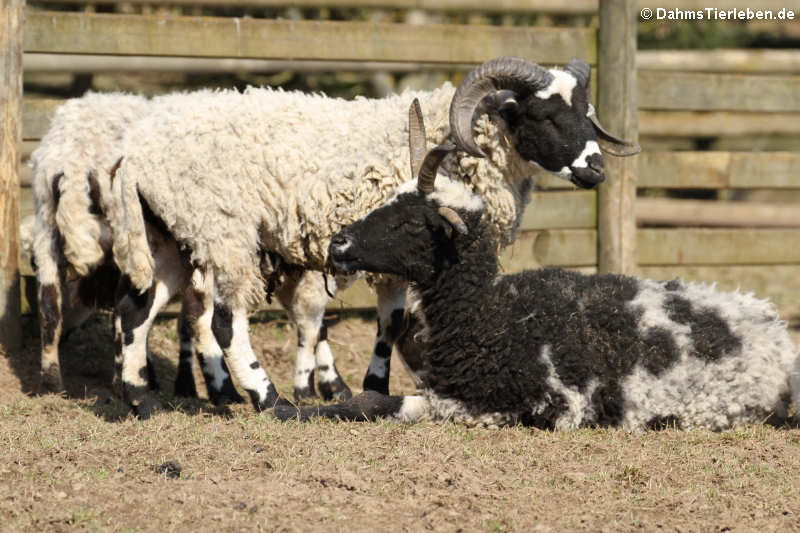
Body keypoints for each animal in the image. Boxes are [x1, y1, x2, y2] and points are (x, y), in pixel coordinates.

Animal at [276, 108, 800, 432]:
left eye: (412, 222)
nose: (338, 243)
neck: (490, 313)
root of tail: (774, 330)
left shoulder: (506, 403)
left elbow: (379, 402)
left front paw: (288, 411)